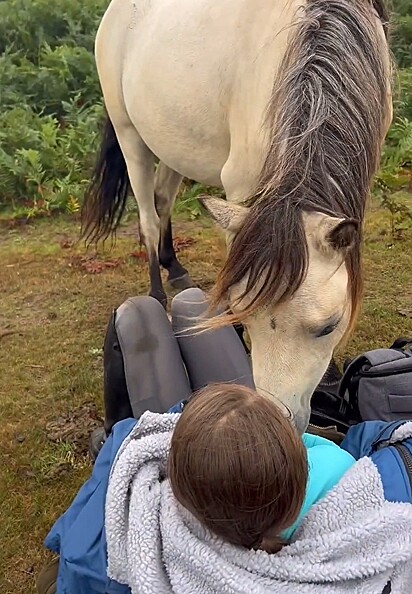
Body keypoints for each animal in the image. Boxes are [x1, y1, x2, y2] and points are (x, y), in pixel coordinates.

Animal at [81, 0, 392, 432]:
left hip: (174, 145)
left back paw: (175, 267)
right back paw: (157, 295)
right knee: (147, 217)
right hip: (131, 137)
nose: (280, 416)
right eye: (244, 312)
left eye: (329, 327)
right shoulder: (242, 188)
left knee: (162, 200)